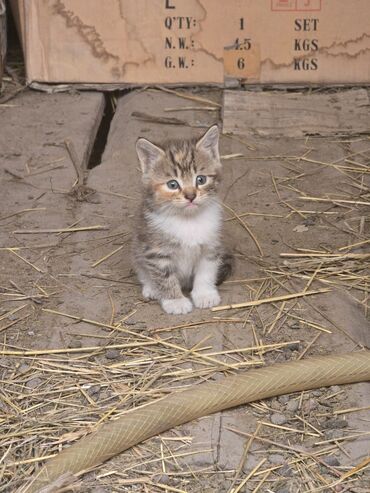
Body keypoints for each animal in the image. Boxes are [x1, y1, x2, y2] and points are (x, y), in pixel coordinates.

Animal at [132, 125, 231, 314]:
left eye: (201, 179)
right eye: (172, 184)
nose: (191, 196)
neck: (188, 221)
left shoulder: (210, 245)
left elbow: (206, 271)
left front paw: (205, 294)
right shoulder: (156, 251)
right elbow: (164, 277)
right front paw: (175, 301)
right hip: (138, 247)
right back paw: (151, 287)